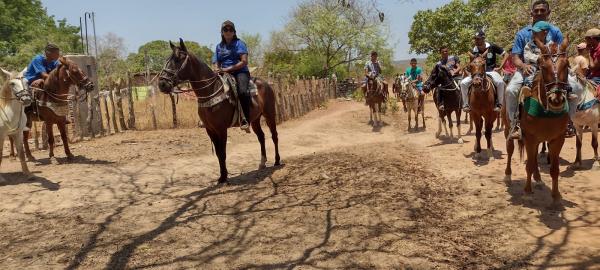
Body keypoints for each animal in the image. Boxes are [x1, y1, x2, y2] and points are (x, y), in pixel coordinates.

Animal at [159, 39, 282, 185]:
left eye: (178, 59)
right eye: (167, 59)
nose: (162, 84)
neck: (211, 91)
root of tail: (267, 84)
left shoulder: (221, 129)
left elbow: (222, 153)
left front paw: (224, 178)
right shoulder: (210, 129)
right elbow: (218, 153)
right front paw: (222, 176)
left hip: (269, 115)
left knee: (274, 136)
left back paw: (277, 161)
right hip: (255, 119)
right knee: (261, 137)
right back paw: (262, 163)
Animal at [506, 37, 572, 201]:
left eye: (567, 64)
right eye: (542, 66)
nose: (556, 99)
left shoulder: (557, 139)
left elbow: (554, 169)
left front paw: (556, 195)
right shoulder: (530, 137)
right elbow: (529, 165)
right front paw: (527, 192)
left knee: (534, 157)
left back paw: (538, 178)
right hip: (508, 127)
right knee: (510, 150)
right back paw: (508, 176)